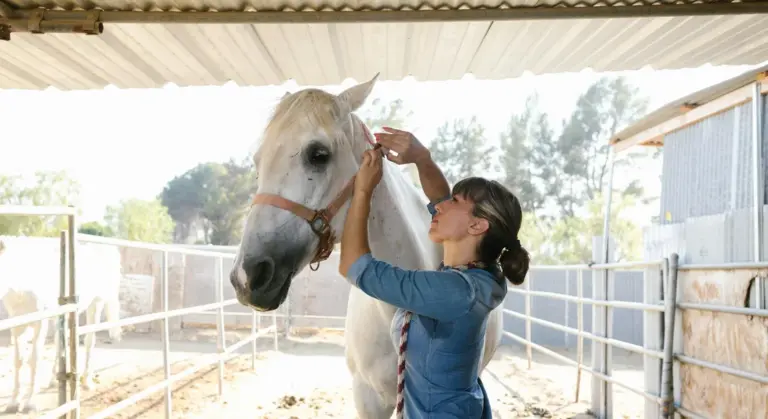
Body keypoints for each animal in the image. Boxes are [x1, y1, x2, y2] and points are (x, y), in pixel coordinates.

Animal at [0, 235, 123, 413]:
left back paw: (87, 382)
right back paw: (54, 379)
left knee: (89, 341)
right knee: (60, 342)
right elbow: (18, 360)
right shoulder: (18, 323)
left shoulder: (40, 321)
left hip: (96, 304)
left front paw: (30, 403)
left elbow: (34, 359)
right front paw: (13, 402)